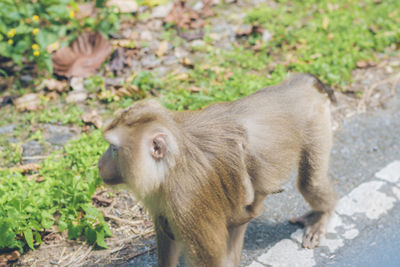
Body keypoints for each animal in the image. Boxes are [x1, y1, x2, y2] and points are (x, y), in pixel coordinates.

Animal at [97, 73, 338, 267]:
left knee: (310, 183)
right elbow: (168, 237)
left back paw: (321, 214)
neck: (173, 165)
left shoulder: (187, 202)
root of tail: (296, 85)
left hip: (315, 122)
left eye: (114, 149)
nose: (100, 163)